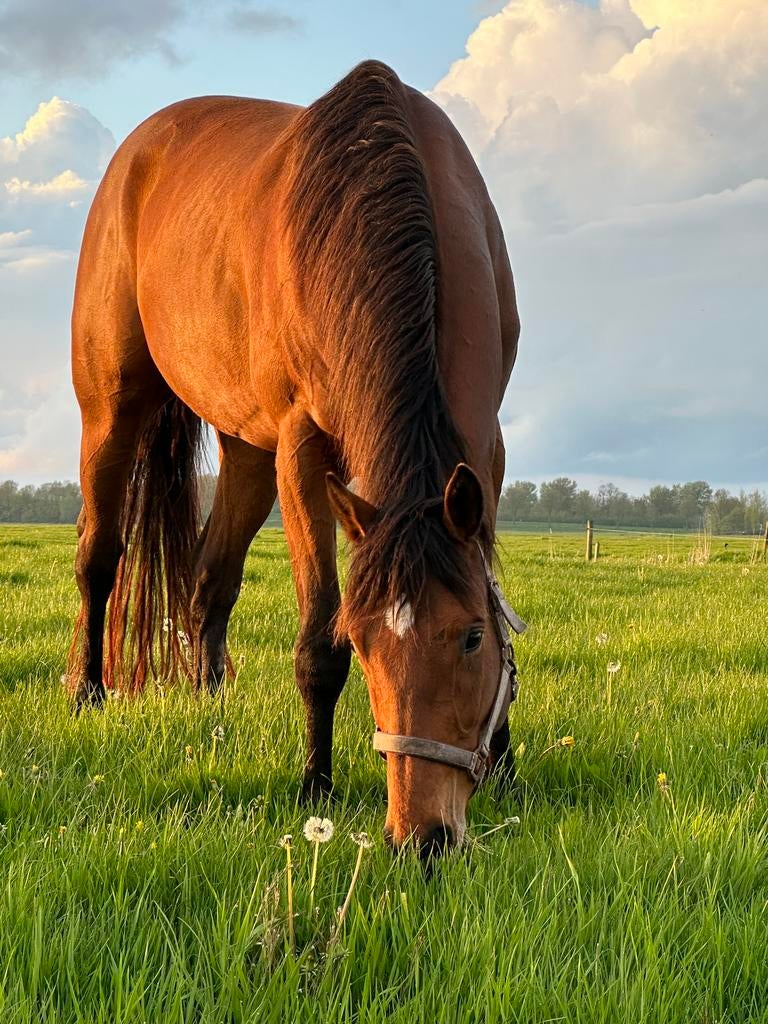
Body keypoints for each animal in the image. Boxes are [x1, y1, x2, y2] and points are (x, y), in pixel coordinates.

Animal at [66, 60, 521, 855]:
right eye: (362, 641)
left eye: (470, 637)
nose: (424, 838)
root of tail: (137, 150)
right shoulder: (304, 450)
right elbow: (315, 641)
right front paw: (316, 783)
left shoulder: (484, 444)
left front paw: (504, 764)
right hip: (113, 413)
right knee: (100, 556)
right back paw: (92, 694)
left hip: (246, 449)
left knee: (210, 580)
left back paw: (209, 701)